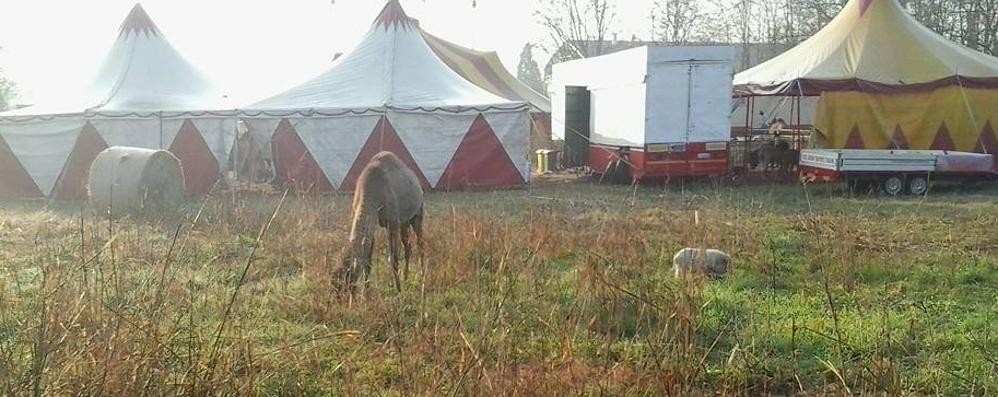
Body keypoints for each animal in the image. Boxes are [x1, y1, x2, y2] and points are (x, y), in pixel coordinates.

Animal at [340, 150, 426, 292]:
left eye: (349, 273)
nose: (349, 289)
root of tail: (416, 180)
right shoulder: (373, 224)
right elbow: (368, 262)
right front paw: (366, 293)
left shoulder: (393, 223)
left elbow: (393, 258)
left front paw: (398, 290)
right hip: (404, 222)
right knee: (408, 246)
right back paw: (406, 278)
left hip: (417, 214)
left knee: (420, 244)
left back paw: (422, 277)